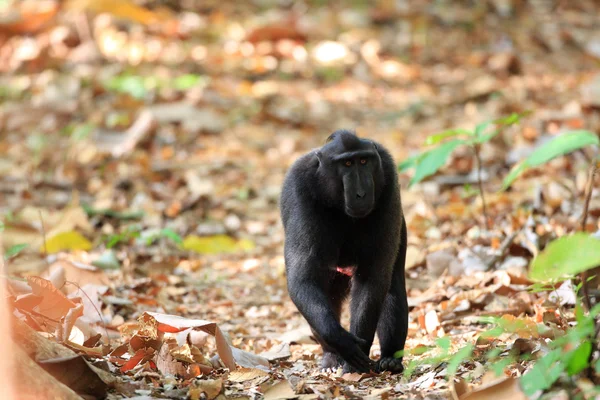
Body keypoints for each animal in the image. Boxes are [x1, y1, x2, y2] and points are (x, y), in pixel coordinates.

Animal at [282, 130, 408, 374]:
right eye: (347, 163)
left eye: (364, 161)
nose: (361, 193)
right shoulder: (298, 188)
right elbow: (304, 280)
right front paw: (341, 342)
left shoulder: (387, 174)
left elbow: (373, 277)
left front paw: (356, 358)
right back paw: (332, 356)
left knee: (392, 282)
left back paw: (390, 358)